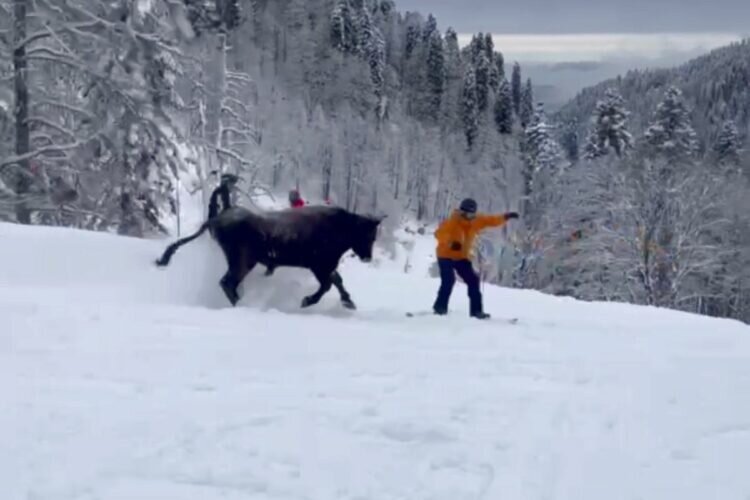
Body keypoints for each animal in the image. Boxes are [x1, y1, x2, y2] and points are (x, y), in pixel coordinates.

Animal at [156, 204, 384, 306]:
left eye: (374, 236)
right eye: (367, 234)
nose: (367, 257)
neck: (339, 226)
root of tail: (217, 218)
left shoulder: (326, 267)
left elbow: (337, 281)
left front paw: (348, 302)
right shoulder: (319, 267)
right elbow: (328, 285)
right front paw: (307, 301)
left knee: (228, 283)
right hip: (243, 262)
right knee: (227, 283)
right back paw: (242, 304)